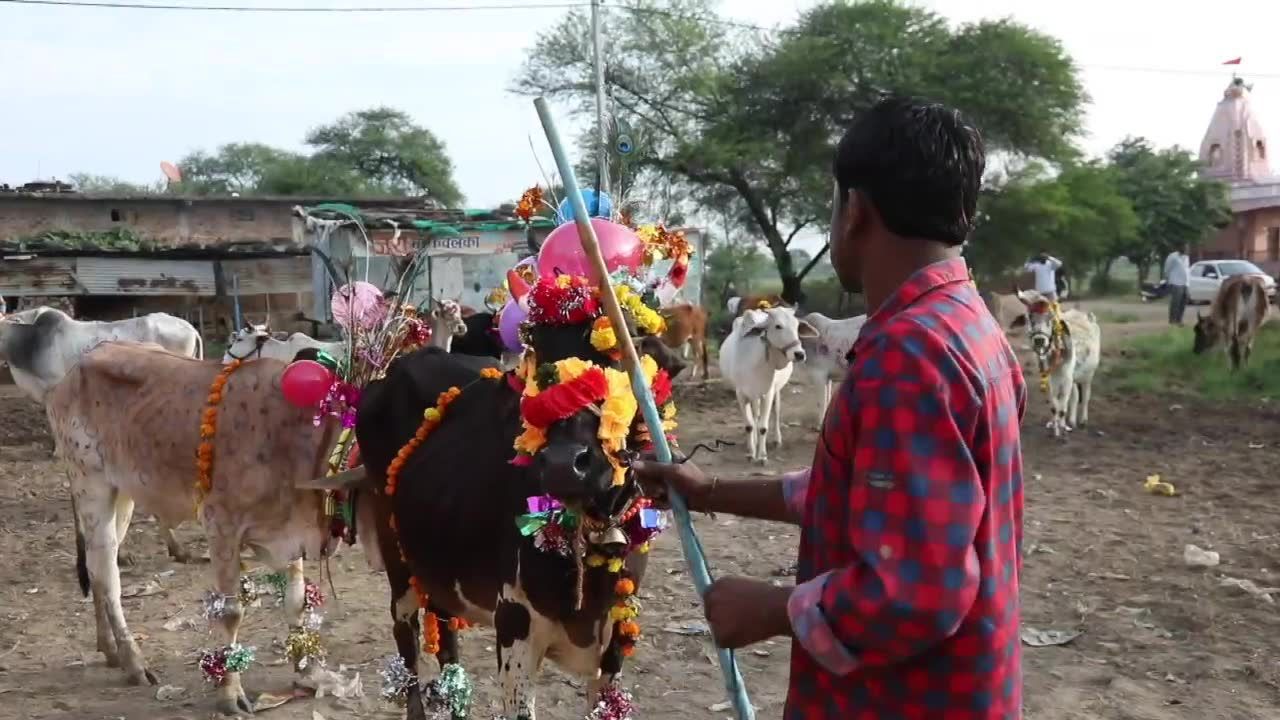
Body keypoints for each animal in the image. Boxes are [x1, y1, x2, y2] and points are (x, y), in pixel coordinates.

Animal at [48, 340, 343, 712]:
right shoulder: (221, 525)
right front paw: (230, 694)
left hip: (123, 495)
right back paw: (134, 661)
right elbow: (231, 612)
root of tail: (82, 361)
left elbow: (296, 600)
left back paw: (110, 648)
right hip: (90, 484)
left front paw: (308, 671)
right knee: (106, 574)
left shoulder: (288, 538)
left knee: (95, 565)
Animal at [716, 303, 814, 461]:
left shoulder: (767, 393)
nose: (799, 354)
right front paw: (751, 452)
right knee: (755, 416)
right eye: (778, 326)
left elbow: (763, 427)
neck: (754, 361)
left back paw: (777, 440)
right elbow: (749, 425)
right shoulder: (741, 394)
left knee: (776, 412)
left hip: (775, 391)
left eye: (797, 326)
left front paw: (761, 456)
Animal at [1008, 286, 1100, 435]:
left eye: (1051, 318)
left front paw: (1060, 431)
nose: (1039, 340)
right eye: (1029, 317)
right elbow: (1055, 405)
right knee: (1074, 396)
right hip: (1074, 376)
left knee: (1085, 396)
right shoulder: (1051, 378)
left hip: (1088, 374)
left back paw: (1083, 420)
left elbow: (1062, 407)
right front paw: (1055, 425)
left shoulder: (1066, 377)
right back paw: (1071, 421)